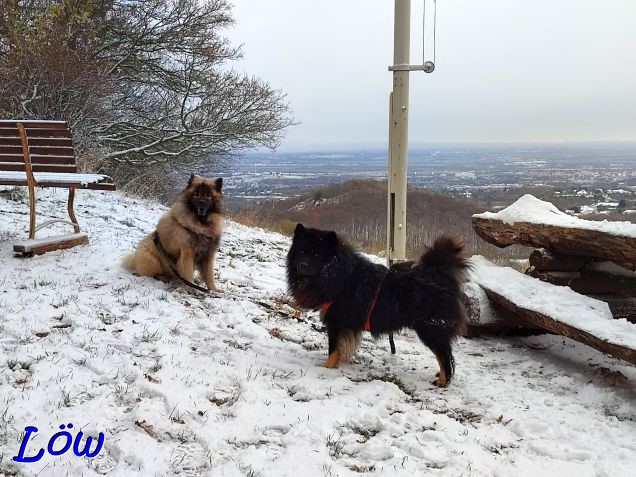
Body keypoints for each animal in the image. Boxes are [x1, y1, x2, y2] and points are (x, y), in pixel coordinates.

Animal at [286, 224, 470, 386]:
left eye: (317, 254)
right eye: (301, 252)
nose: (302, 265)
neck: (338, 275)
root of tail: (438, 273)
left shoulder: (336, 323)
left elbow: (333, 349)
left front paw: (327, 367)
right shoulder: (346, 327)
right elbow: (342, 348)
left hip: (430, 329)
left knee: (446, 356)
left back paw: (443, 381)